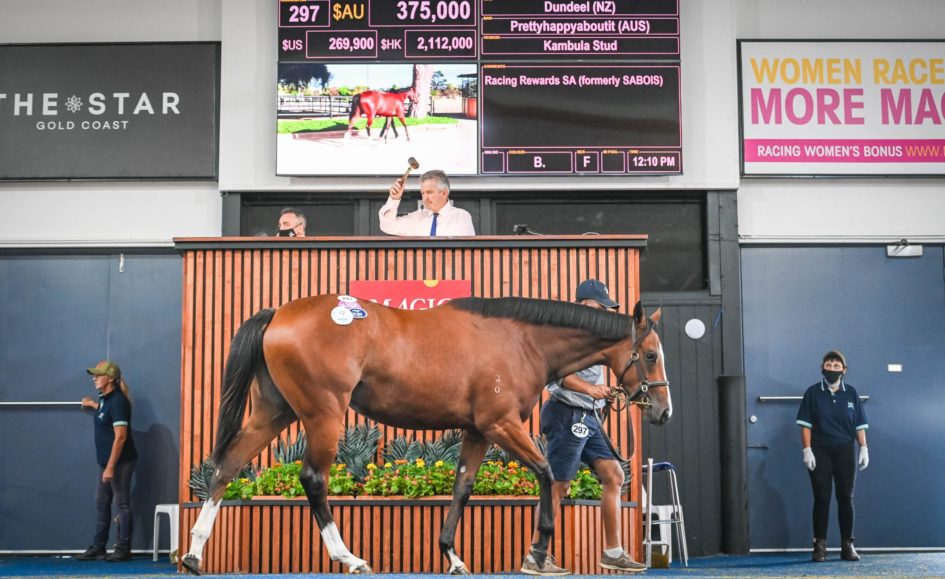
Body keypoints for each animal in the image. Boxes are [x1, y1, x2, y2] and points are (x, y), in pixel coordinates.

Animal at [183, 296, 672, 576]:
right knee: (314, 480)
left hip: (274, 412)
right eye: (650, 355)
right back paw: (349, 557)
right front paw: (536, 554)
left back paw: (194, 554)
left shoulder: (476, 431)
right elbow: (546, 471)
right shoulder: (501, 424)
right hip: (324, 414)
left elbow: (462, 487)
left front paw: (452, 556)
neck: (519, 339)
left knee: (227, 466)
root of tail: (278, 314)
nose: (663, 411)